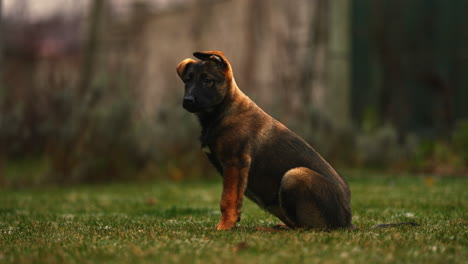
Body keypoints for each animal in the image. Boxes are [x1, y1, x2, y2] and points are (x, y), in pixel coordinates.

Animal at [177, 50, 352, 230]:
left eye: (207, 80)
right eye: (187, 80)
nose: (187, 101)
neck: (223, 111)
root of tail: (347, 222)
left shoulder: (235, 162)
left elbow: (228, 199)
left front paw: (224, 227)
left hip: (294, 175)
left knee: (306, 229)